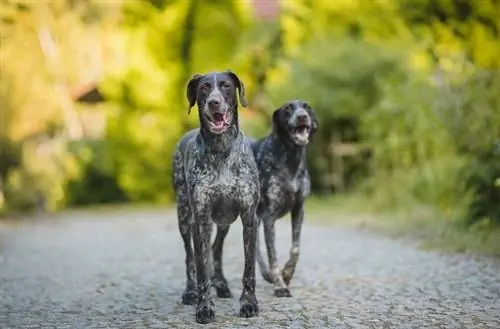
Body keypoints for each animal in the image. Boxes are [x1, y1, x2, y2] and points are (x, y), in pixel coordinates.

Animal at [171, 70, 260, 322]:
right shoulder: (200, 220)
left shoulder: (249, 218)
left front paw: (249, 304)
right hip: (184, 217)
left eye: (226, 85)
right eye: (204, 88)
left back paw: (220, 284)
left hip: (223, 222)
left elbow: (249, 268)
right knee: (191, 257)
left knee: (216, 249)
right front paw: (204, 307)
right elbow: (201, 267)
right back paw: (190, 291)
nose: (214, 102)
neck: (221, 149)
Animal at [252, 100, 318, 298]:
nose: (302, 116)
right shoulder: (269, 217)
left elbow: (295, 249)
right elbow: (273, 255)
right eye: (288, 108)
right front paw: (279, 285)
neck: (290, 158)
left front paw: (287, 273)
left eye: (307, 107)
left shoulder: (298, 210)